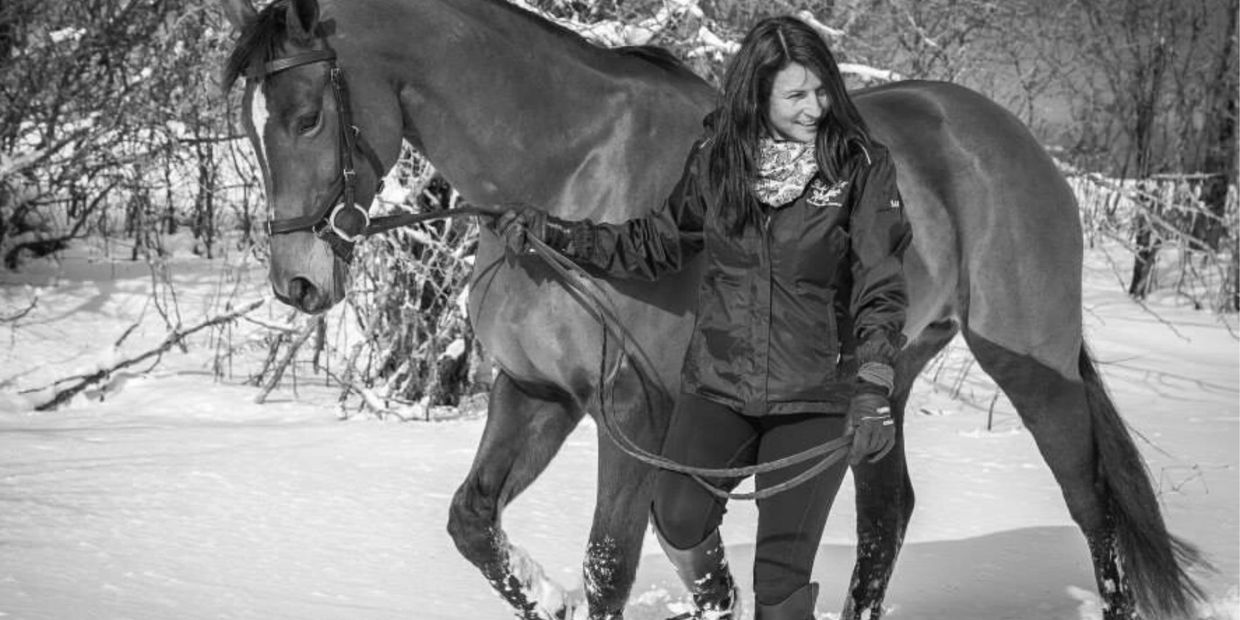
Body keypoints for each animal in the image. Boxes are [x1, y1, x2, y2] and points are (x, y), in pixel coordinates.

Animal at [218, 0, 1205, 618]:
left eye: (306, 115)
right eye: (258, 120)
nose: (296, 280)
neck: (568, 171)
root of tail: (1010, 140)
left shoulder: (631, 411)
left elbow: (612, 566)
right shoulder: (536, 393)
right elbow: (476, 523)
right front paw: (552, 596)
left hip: (1029, 360)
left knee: (1091, 504)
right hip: (882, 379)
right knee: (886, 516)